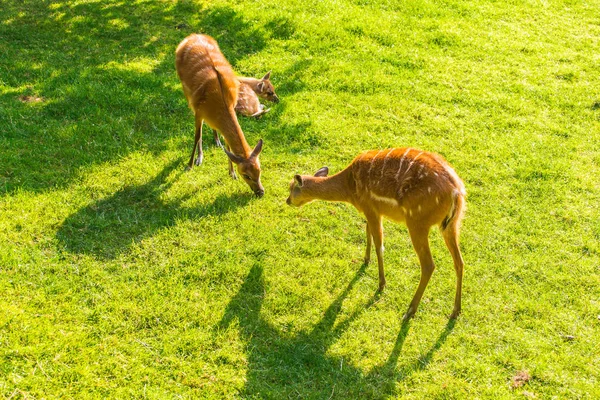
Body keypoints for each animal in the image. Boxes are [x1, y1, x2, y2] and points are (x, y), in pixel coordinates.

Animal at [176, 33, 264, 197]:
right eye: (246, 175)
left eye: (259, 169)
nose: (261, 192)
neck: (220, 101)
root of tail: (193, 35)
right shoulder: (198, 111)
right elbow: (197, 136)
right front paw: (190, 164)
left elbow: (227, 144)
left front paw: (231, 173)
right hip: (186, 91)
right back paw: (199, 157)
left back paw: (216, 141)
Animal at [288, 148, 468, 320]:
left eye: (291, 188)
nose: (287, 201)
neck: (349, 188)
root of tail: (456, 193)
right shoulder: (372, 210)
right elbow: (368, 232)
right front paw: (365, 260)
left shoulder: (370, 207)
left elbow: (379, 246)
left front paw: (381, 284)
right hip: (452, 224)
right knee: (459, 261)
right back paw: (455, 311)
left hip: (417, 221)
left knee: (429, 264)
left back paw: (410, 311)